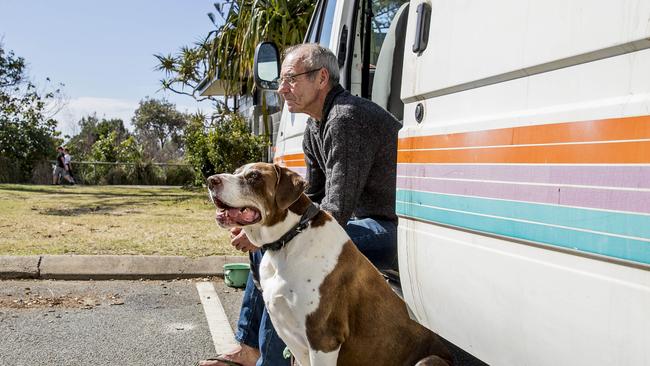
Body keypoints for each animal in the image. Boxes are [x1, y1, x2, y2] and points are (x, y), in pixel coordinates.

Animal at [208, 164, 450, 366]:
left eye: (254, 176)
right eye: (237, 172)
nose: (211, 180)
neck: (290, 238)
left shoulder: (323, 339)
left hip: (429, 360)